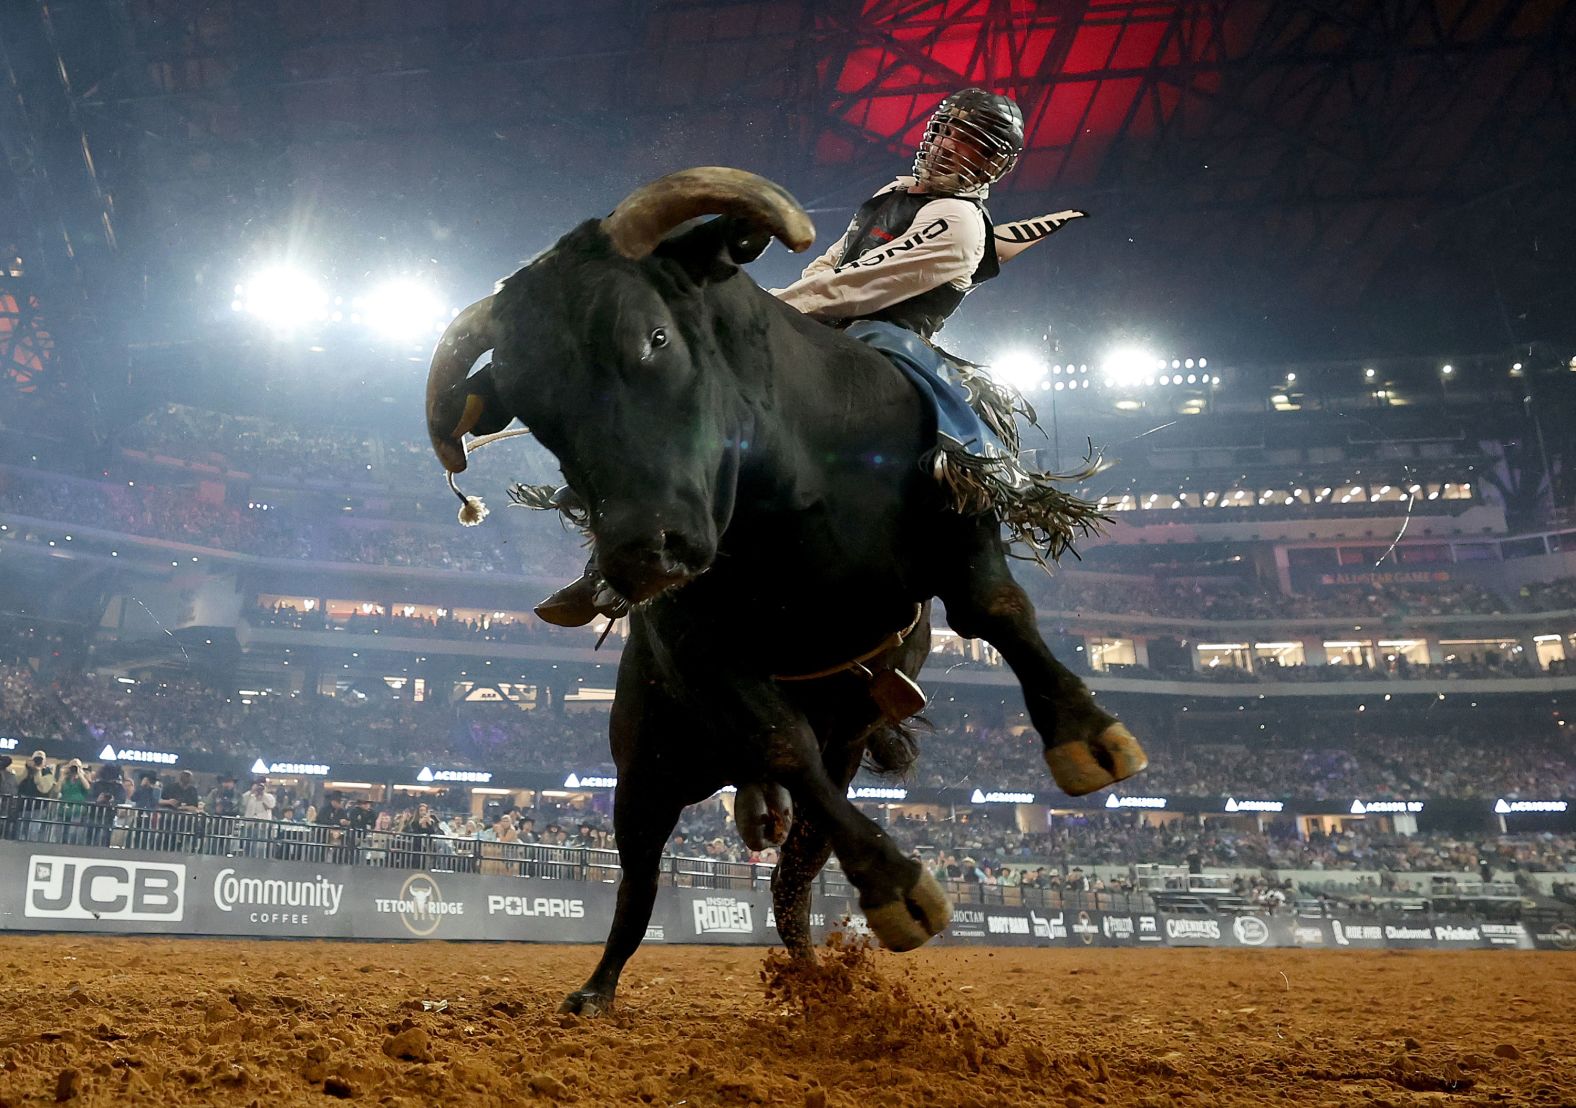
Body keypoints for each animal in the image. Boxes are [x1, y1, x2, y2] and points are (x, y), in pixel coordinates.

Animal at [431, 167, 1147, 1015]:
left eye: (655, 337)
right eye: (534, 410)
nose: (641, 552)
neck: (792, 486)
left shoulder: (955, 515)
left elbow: (997, 611)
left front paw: (1088, 735)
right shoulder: (695, 640)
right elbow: (779, 736)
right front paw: (898, 885)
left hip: (840, 745)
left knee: (794, 874)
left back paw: (814, 981)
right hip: (647, 772)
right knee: (644, 883)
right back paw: (600, 990)